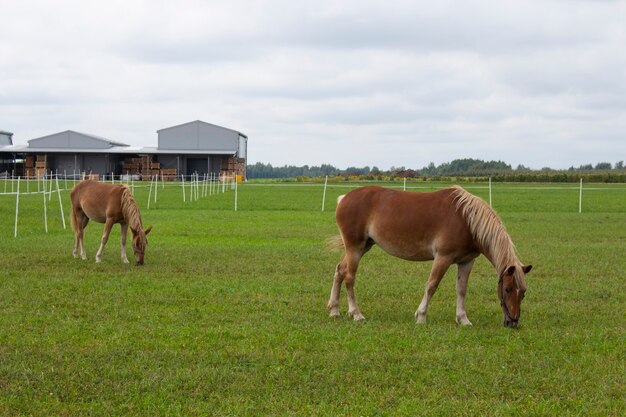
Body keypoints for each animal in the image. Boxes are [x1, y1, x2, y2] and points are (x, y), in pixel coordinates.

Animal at [326, 186, 532, 328]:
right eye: (507, 289)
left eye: (523, 292)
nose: (513, 322)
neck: (466, 219)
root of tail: (345, 198)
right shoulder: (443, 258)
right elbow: (432, 285)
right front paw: (421, 316)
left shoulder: (466, 261)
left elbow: (461, 289)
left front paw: (463, 319)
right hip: (355, 248)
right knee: (349, 277)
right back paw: (356, 314)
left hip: (362, 247)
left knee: (340, 270)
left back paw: (334, 310)